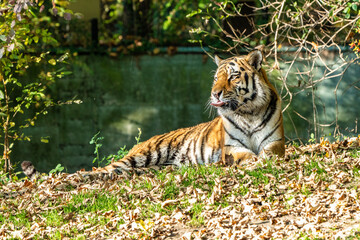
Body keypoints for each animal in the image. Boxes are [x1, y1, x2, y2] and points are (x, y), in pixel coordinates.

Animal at [22, 48, 284, 179]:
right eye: (216, 78)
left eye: (233, 76)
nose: (214, 93)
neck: (248, 111)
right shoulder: (231, 148)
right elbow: (246, 156)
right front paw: (254, 161)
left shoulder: (275, 143)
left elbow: (268, 154)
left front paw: (264, 161)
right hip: (144, 154)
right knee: (101, 169)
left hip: (158, 165)